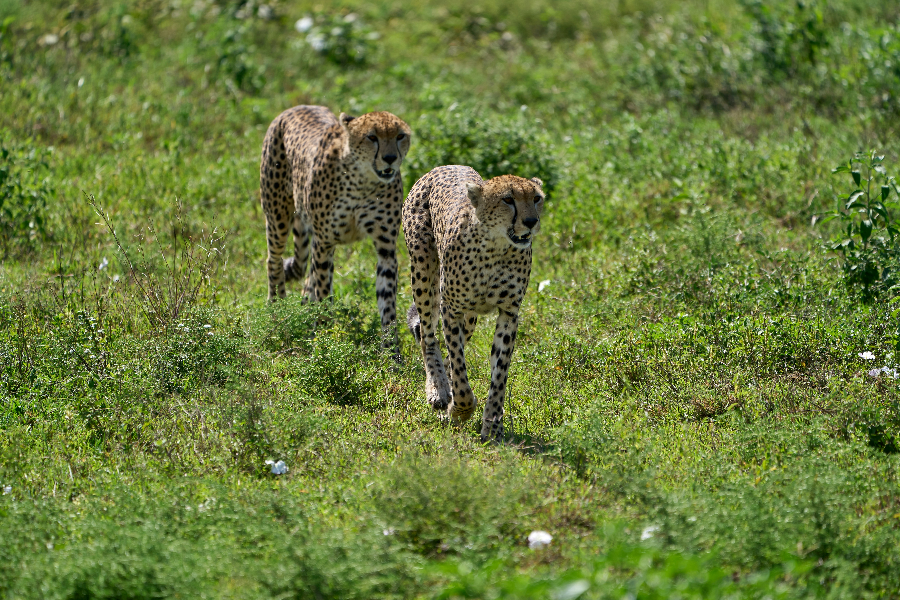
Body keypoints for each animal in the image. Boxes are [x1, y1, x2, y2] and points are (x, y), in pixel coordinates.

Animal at [260, 106, 412, 354]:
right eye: (372, 137)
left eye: (400, 136)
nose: (390, 158)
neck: (363, 181)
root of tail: (298, 107)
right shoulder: (324, 242)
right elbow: (323, 294)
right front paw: (325, 341)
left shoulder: (386, 248)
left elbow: (387, 303)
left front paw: (392, 353)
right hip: (278, 216)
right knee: (274, 261)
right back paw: (278, 312)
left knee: (305, 275)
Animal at [404, 164, 544, 440]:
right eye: (508, 199)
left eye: (536, 198)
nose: (531, 222)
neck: (496, 247)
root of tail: (447, 165)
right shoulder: (451, 309)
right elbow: (459, 368)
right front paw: (461, 409)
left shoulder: (509, 313)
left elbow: (499, 372)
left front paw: (493, 425)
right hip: (424, 274)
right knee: (428, 336)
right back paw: (438, 390)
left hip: (470, 318)